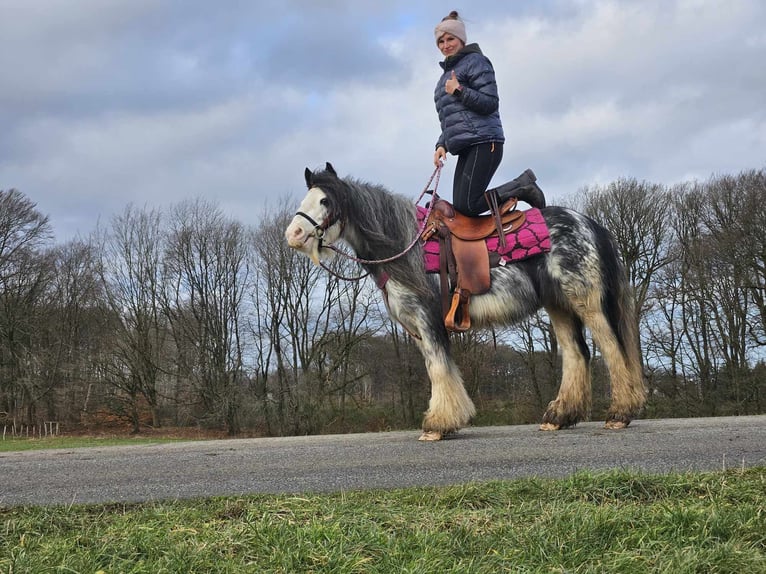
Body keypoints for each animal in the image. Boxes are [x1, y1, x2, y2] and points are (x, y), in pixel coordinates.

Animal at [284, 164, 644, 444]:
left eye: (325, 200)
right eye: (305, 199)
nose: (294, 234)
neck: (405, 245)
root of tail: (591, 224)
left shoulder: (427, 318)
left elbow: (438, 367)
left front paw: (438, 424)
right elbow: (439, 369)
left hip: (586, 302)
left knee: (612, 349)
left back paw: (619, 413)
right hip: (559, 305)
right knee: (576, 353)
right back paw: (558, 416)